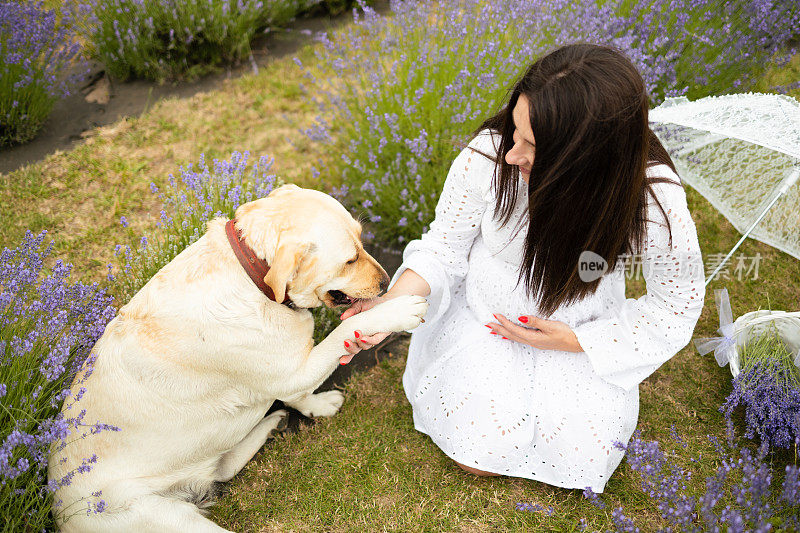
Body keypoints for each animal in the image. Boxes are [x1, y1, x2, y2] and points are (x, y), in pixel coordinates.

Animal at [47, 184, 428, 532]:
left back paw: (272, 423)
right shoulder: (294, 373)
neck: (253, 280)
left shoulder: (291, 375)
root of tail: (59, 511)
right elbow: (343, 333)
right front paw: (395, 311)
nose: (386, 281)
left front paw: (316, 407)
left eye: (363, 240)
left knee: (223, 466)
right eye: (350, 260)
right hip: (171, 519)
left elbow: (300, 395)